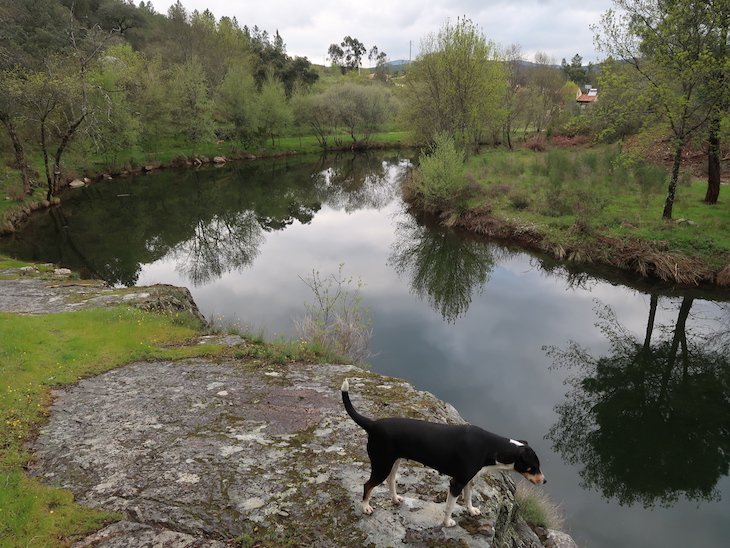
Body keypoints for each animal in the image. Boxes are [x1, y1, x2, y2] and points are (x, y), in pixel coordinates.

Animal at [340, 378, 540, 528]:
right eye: (533, 467)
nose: (544, 481)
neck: (490, 447)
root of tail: (373, 424)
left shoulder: (469, 480)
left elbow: (468, 499)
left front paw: (471, 511)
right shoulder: (456, 482)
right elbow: (450, 506)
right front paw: (447, 522)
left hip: (392, 463)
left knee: (390, 481)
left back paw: (395, 499)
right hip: (382, 465)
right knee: (368, 485)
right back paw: (366, 507)